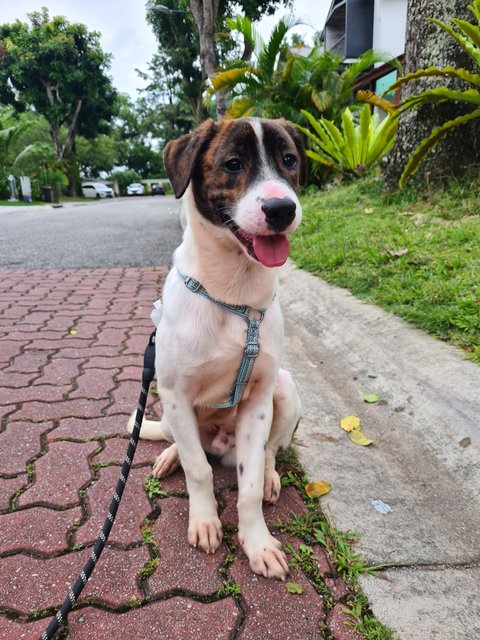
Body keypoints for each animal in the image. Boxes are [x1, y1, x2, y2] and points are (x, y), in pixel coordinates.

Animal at [128, 116, 308, 580]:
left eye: (289, 160)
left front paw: (257, 543)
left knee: (270, 452)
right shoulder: (175, 393)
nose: (282, 210)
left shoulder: (259, 399)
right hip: (165, 404)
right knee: (187, 446)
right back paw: (169, 455)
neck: (235, 295)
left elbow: (247, 486)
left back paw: (269, 476)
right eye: (232, 163)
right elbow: (198, 471)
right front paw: (205, 520)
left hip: (286, 389)